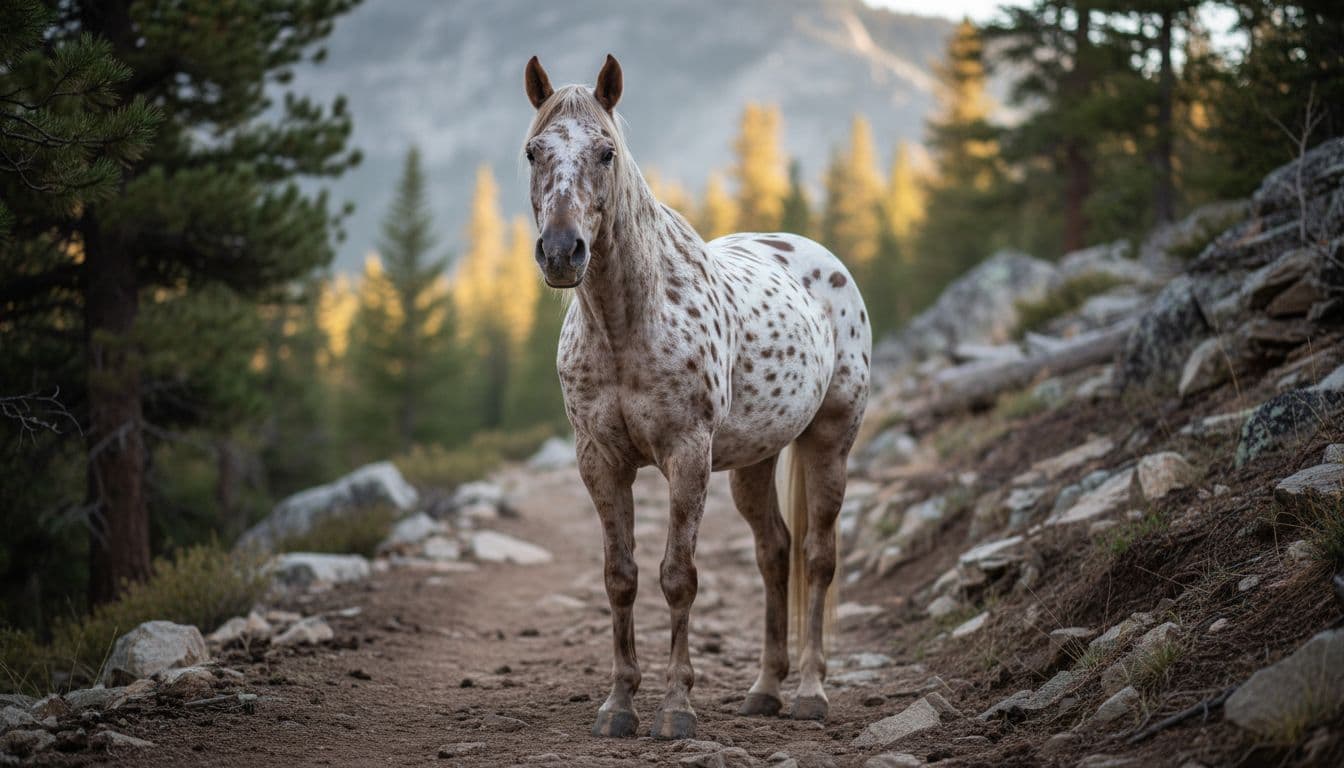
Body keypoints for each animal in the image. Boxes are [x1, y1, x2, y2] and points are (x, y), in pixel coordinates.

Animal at [520, 54, 871, 740]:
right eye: (532, 151)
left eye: (606, 152)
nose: (562, 252)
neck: (627, 324)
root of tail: (824, 261)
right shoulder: (600, 460)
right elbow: (620, 577)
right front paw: (618, 706)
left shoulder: (687, 456)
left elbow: (678, 577)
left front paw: (677, 706)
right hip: (756, 459)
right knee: (774, 554)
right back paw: (764, 690)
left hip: (830, 440)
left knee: (817, 557)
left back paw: (811, 692)